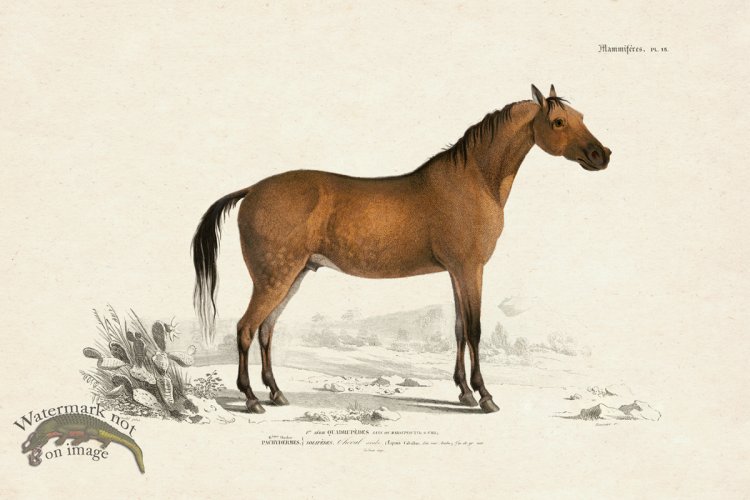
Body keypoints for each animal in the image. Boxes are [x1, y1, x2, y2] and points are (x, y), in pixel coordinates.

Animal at [192, 84, 611, 414]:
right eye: (559, 122)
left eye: (580, 116)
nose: (602, 155)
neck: (474, 179)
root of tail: (252, 190)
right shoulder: (471, 268)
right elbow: (475, 329)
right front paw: (485, 396)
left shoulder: (457, 272)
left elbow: (459, 329)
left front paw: (463, 392)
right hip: (274, 278)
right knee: (246, 328)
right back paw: (251, 399)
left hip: (293, 276)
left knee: (266, 330)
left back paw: (276, 393)